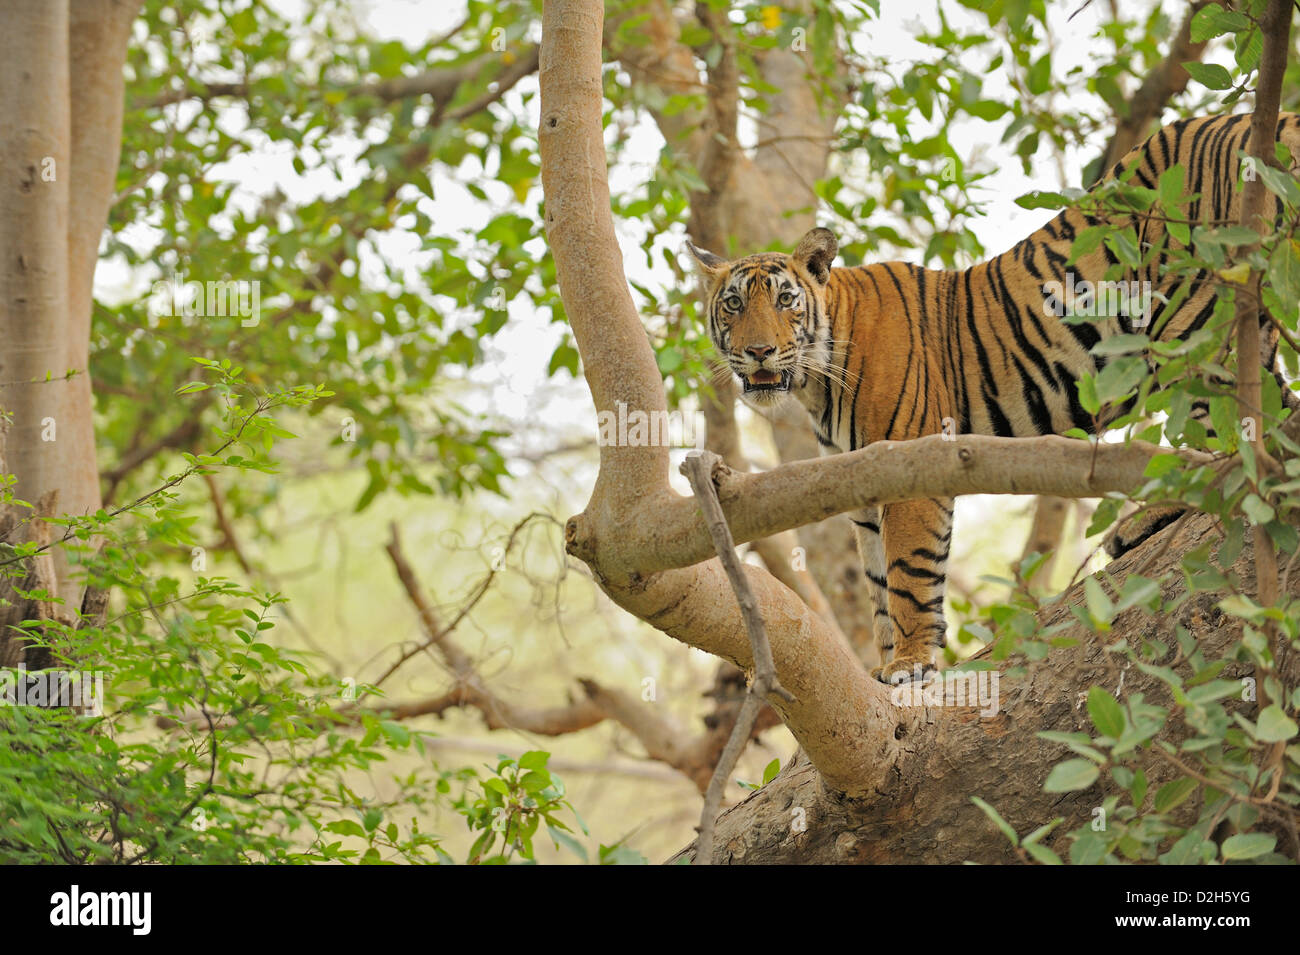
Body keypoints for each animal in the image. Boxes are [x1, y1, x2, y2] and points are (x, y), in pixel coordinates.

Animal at [687, 112, 1300, 685]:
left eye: (785, 300)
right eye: (733, 304)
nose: (759, 351)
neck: (816, 383)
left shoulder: (911, 465)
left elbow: (908, 575)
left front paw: (910, 665)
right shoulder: (861, 486)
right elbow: (878, 585)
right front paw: (884, 670)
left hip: (1199, 325)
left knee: (1237, 450)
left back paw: (1146, 520)